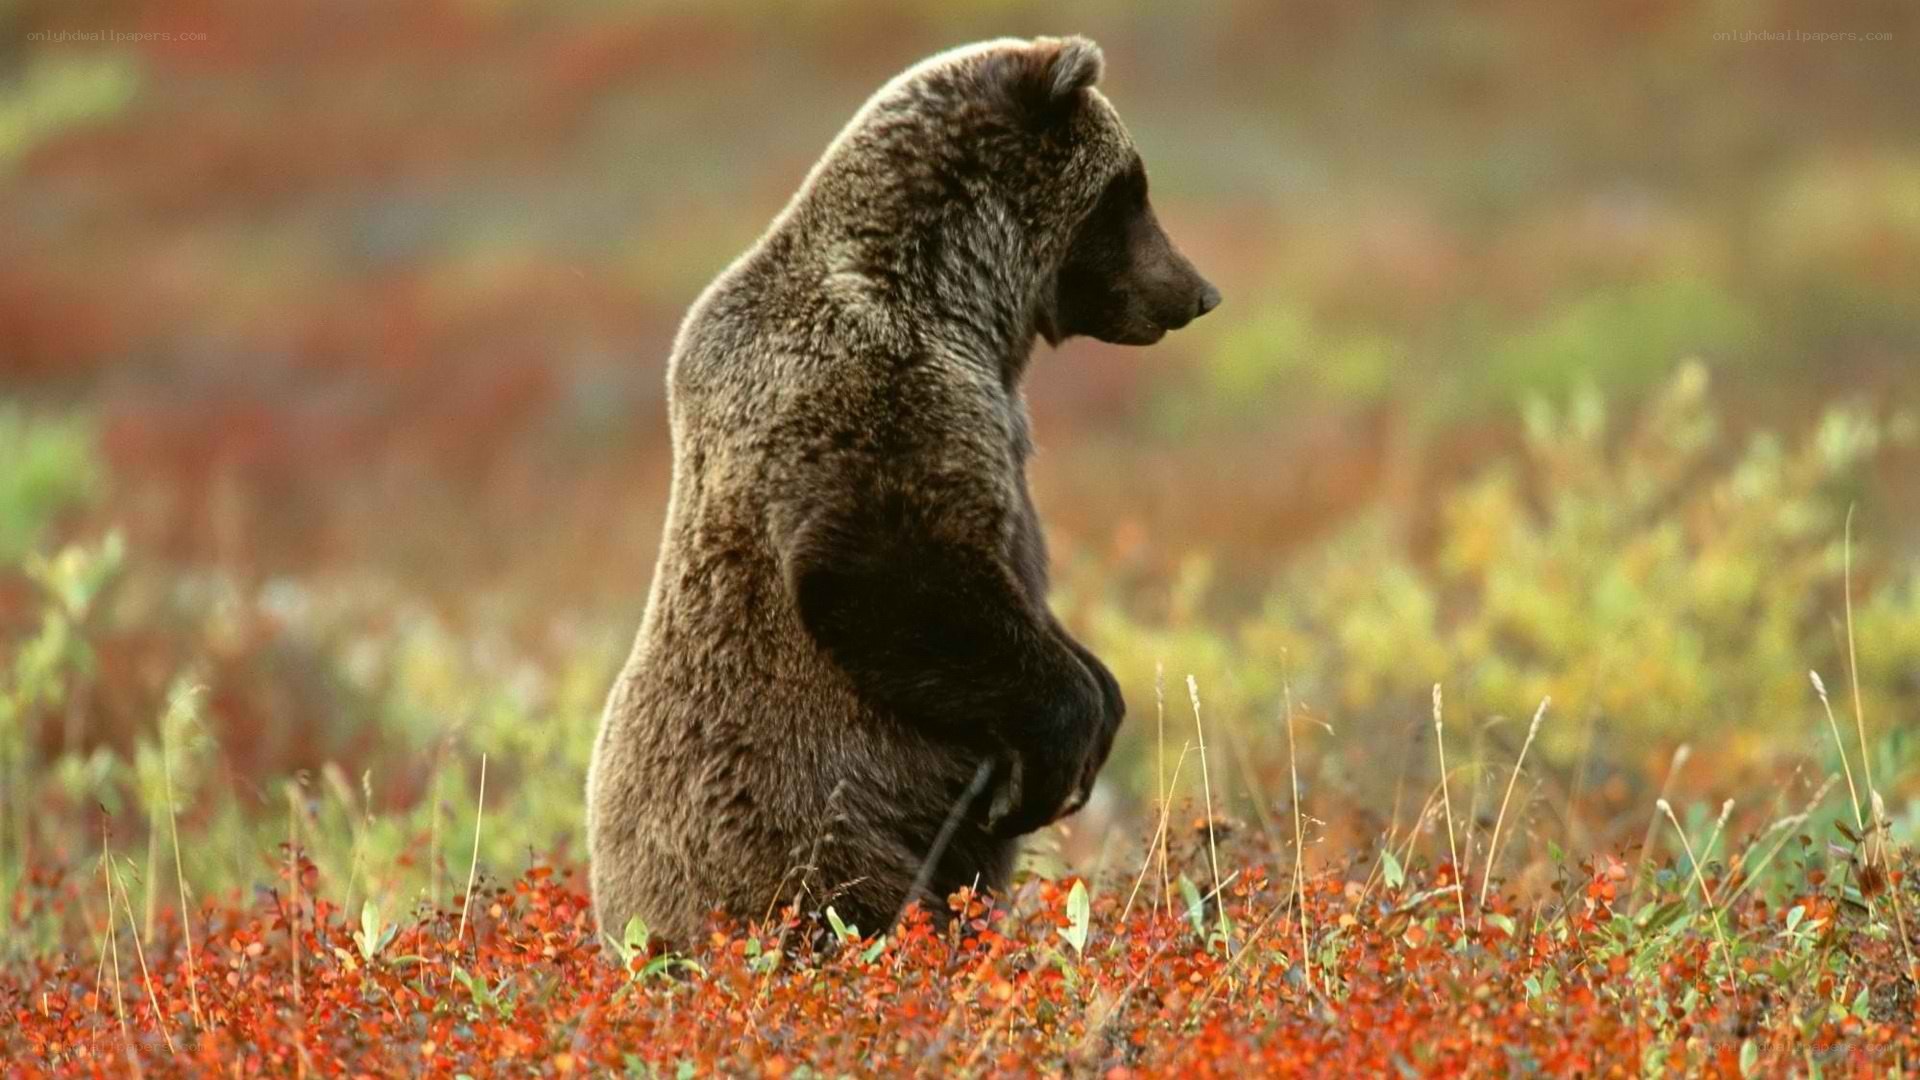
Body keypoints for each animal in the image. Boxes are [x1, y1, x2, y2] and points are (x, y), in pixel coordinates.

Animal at [587, 35, 1218, 948]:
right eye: (1128, 192)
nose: (1198, 292)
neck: (960, 305)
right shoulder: (874, 393)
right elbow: (881, 566)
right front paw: (1058, 756)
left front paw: (1104, 698)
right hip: (809, 827)